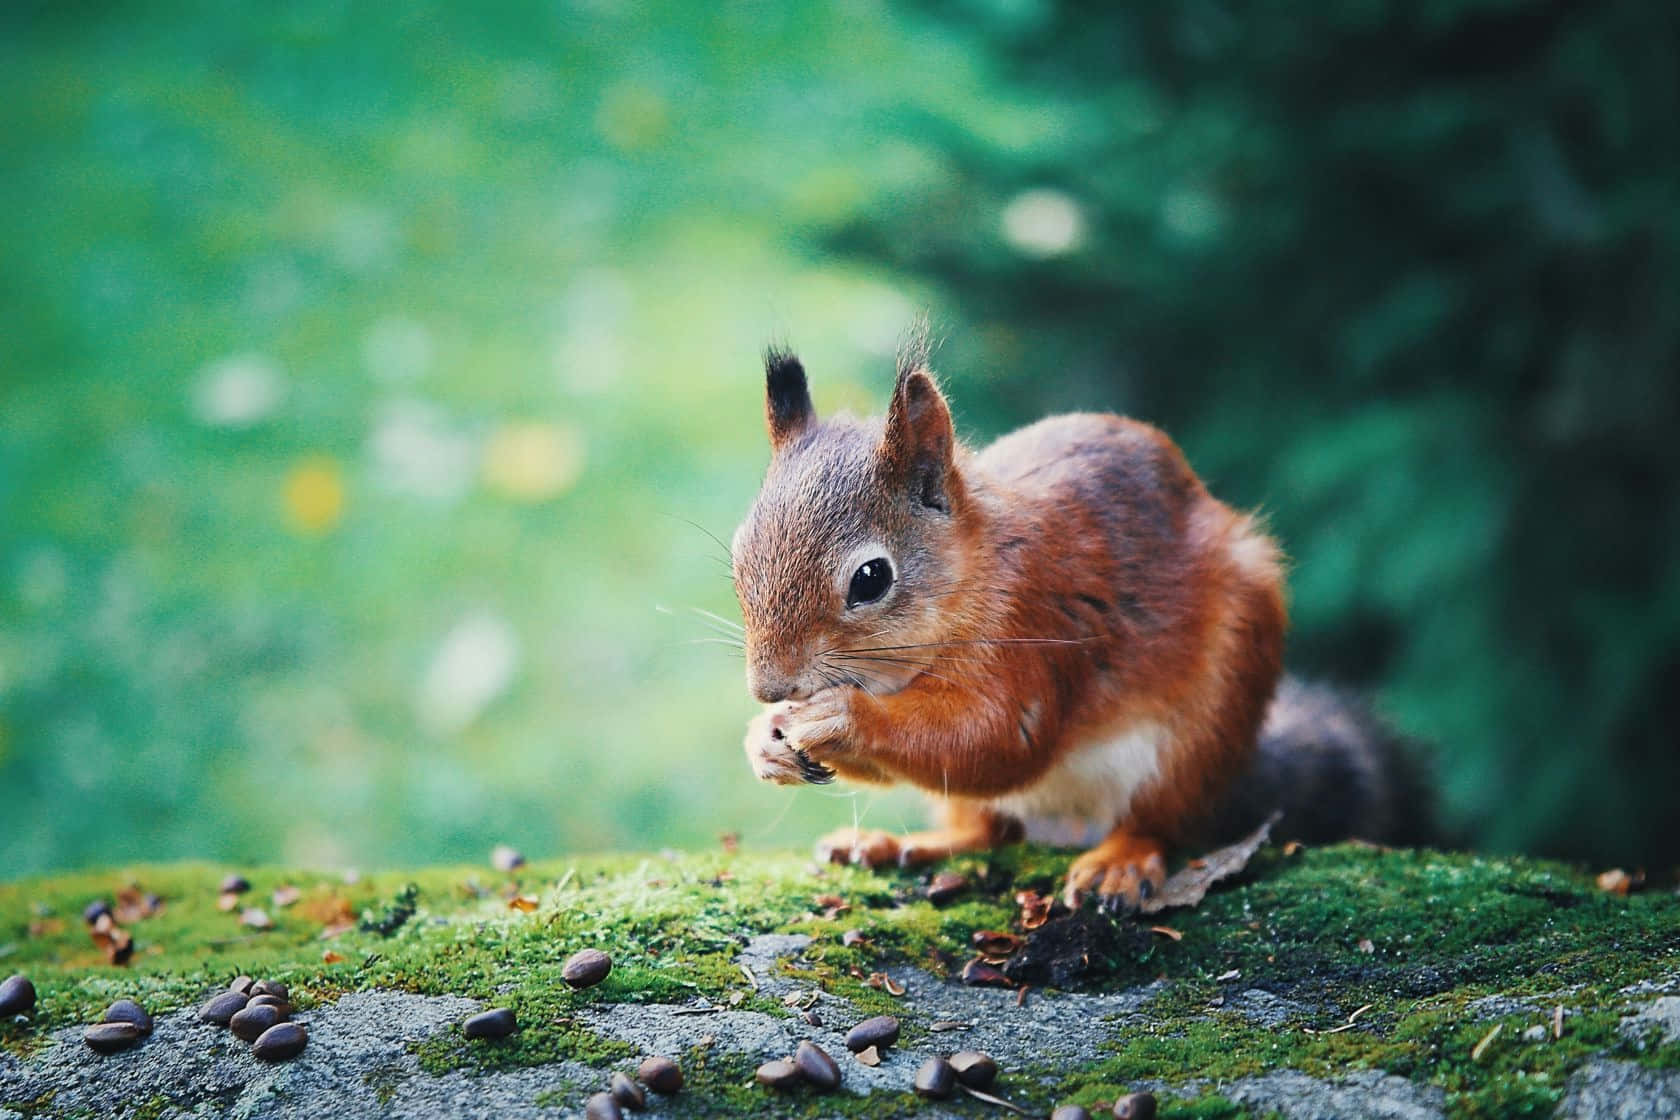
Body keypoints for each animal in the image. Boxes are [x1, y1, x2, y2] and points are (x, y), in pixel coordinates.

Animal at [732, 334, 1430, 911]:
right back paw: (898, 845)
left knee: (1155, 819)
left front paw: (841, 717)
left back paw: (1119, 863)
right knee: (985, 829)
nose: (769, 688)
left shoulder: (1033, 628)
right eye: (739, 554)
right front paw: (765, 740)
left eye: (871, 578)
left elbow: (994, 741)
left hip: (1202, 731)